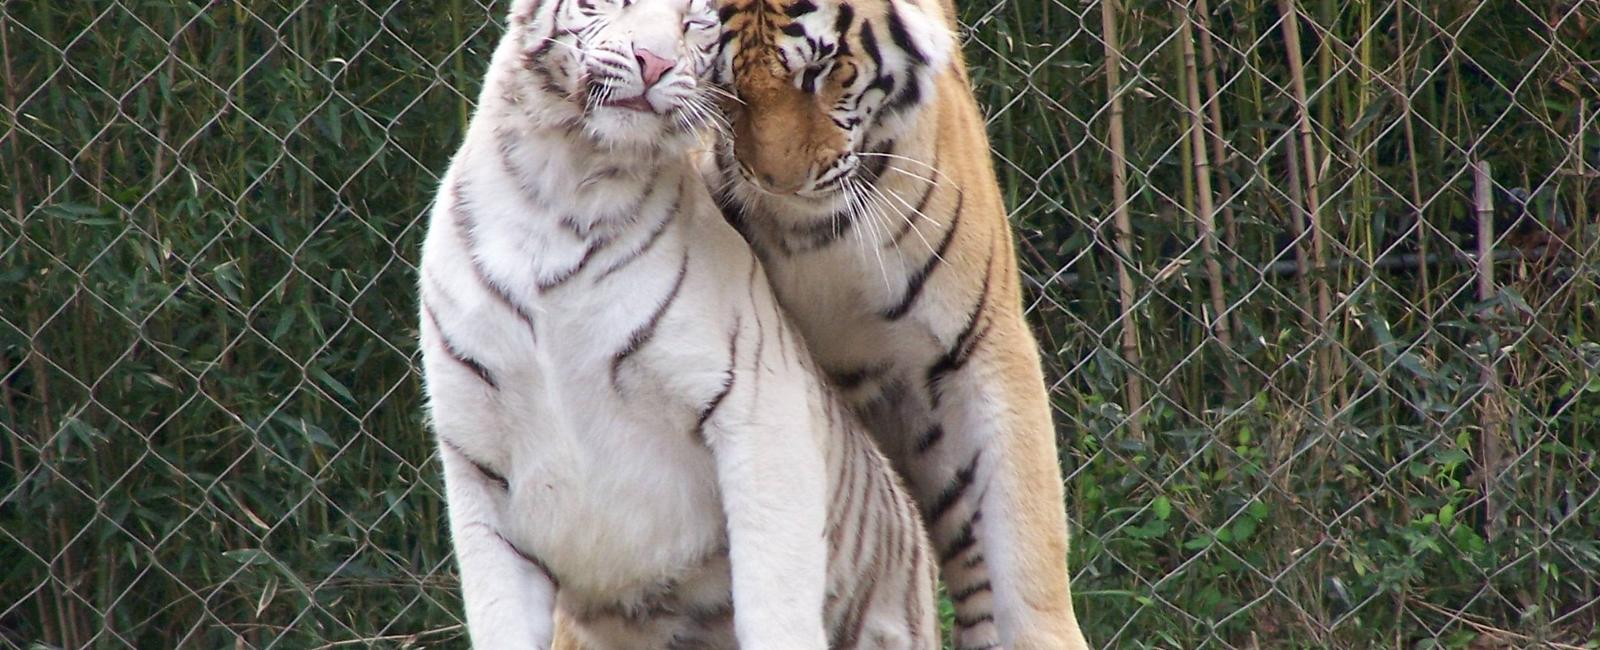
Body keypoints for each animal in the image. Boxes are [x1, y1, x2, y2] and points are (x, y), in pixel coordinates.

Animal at [416, 1, 934, 650]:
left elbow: (775, 597)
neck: (562, 187)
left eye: (697, 21)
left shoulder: (759, 407)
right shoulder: (475, 457)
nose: (654, 61)